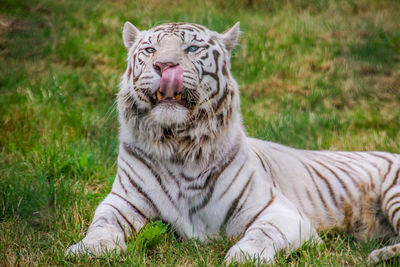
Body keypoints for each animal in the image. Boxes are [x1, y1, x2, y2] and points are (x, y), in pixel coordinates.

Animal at [67, 22, 400, 264]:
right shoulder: (121, 201)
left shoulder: (278, 211)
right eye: (150, 50)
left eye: (191, 48)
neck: (178, 145)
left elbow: (262, 233)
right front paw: (87, 249)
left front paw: (244, 256)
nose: (165, 65)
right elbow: (102, 224)